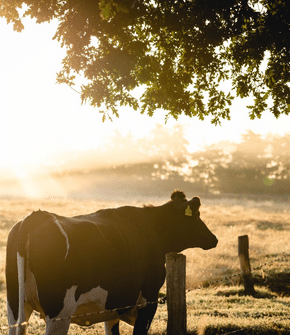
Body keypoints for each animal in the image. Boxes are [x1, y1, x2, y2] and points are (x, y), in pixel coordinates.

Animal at [5, 192, 218, 335]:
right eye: (196, 216)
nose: (214, 239)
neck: (152, 229)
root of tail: (37, 216)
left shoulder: (114, 306)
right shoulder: (148, 301)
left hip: (15, 307)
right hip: (58, 313)